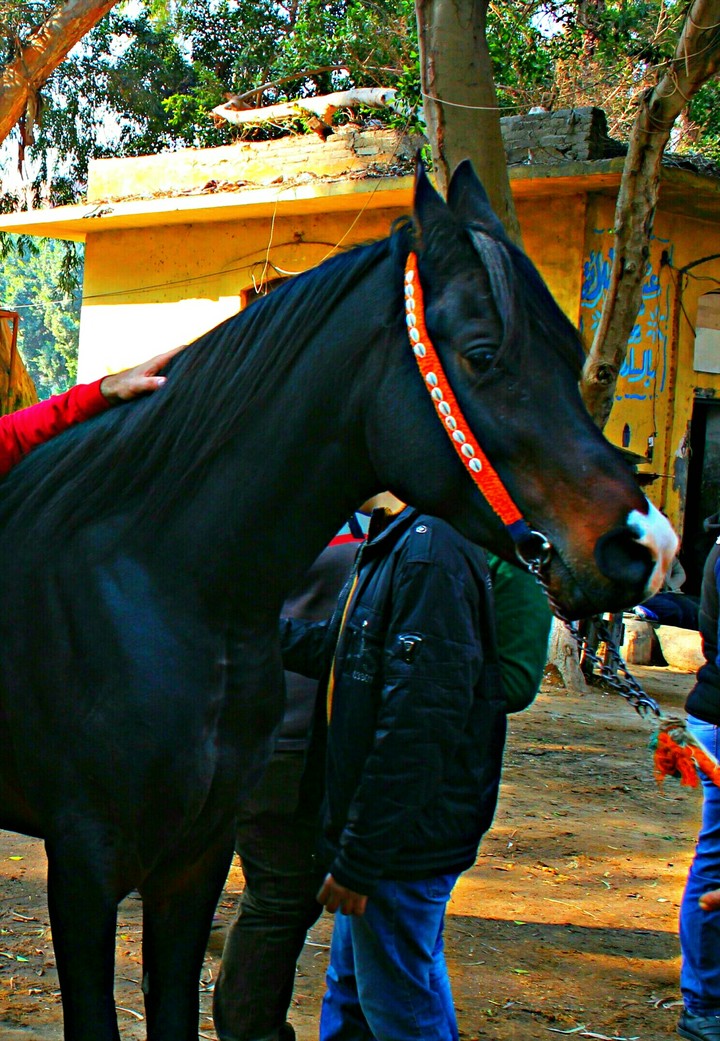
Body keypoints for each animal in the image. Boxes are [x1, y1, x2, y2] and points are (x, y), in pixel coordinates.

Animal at [0, 160, 676, 1040]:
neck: (160, 582)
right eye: (483, 354)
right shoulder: (84, 862)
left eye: (569, 348)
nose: (646, 545)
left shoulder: (196, 857)